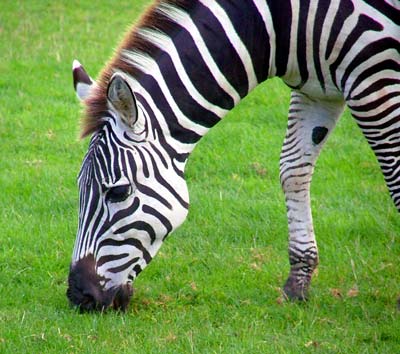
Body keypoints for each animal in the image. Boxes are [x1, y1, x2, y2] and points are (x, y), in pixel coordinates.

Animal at [66, 0, 400, 310]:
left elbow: (394, 175)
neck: (280, 24)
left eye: (119, 192)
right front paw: (297, 284)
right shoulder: (317, 91)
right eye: (79, 188)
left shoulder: (373, 79)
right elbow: (293, 170)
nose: (79, 296)